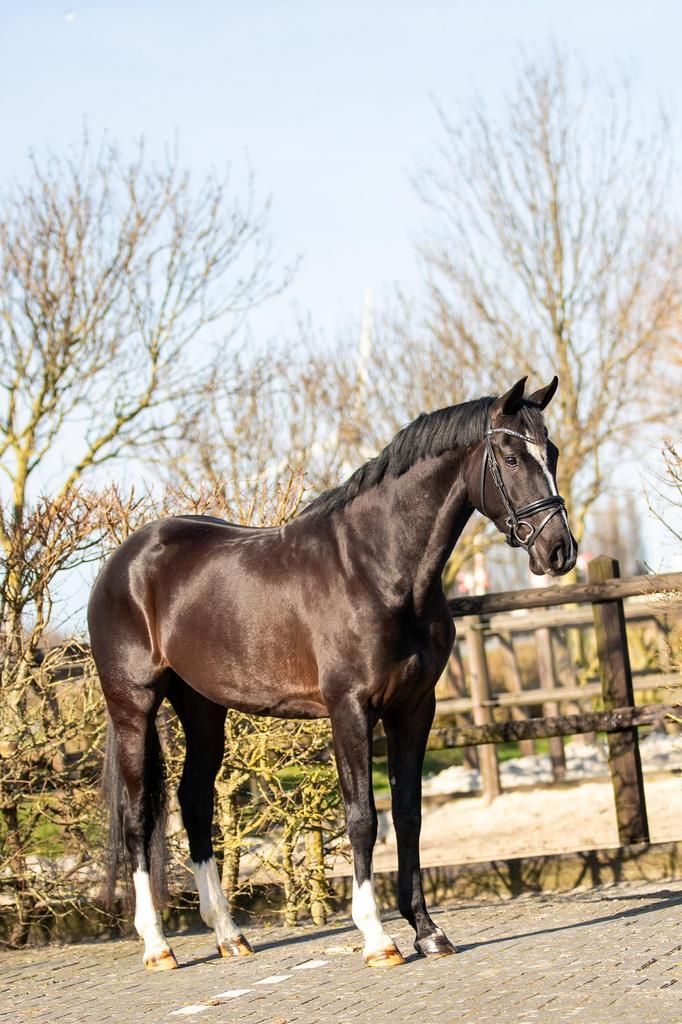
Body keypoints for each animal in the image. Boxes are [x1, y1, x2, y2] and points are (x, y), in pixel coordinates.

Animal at [89, 375, 576, 971]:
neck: (377, 567)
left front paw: (428, 931)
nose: (559, 550)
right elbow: (363, 816)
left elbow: (409, 815)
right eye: (509, 456)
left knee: (195, 802)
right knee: (138, 817)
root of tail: (124, 560)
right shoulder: (351, 709)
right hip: (133, 705)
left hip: (203, 708)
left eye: (552, 453)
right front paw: (378, 938)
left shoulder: (415, 708)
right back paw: (158, 945)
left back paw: (229, 935)